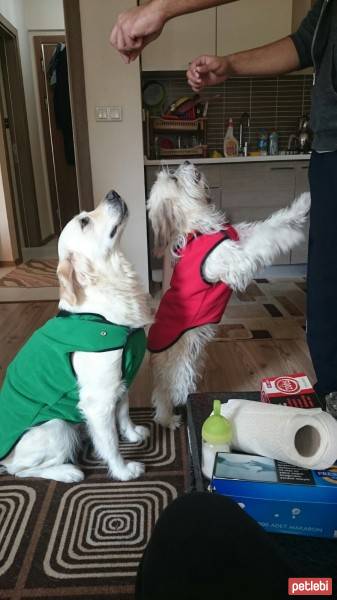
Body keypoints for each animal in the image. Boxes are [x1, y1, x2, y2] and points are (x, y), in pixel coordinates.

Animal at [0, 192, 152, 482]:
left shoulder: (121, 381)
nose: (113, 193)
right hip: (56, 426)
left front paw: (132, 432)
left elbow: (124, 413)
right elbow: (110, 442)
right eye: (84, 221)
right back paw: (68, 472)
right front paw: (123, 471)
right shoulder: (98, 400)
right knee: (18, 470)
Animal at [147, 162, 310, 428]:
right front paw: (291, 237)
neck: (198, 227)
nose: (187, 162)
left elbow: (270, 224)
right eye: (174, 179)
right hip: (181, 367)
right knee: (165, 394)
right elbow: (265, 240)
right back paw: (169, 419)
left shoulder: (241, 236)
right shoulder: (236, 260)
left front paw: (303, 204)